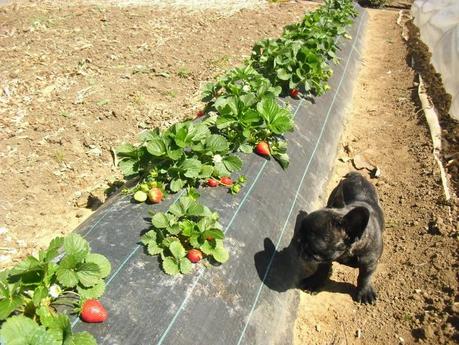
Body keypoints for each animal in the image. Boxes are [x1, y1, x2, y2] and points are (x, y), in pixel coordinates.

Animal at [296, 171, 382, 302]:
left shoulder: (370, 263)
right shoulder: (324, 259)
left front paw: (365, 292)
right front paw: (315, 281)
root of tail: (357, 176)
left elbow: (365, 277)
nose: (299, 241)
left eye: (312, 245)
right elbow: (322, 269)